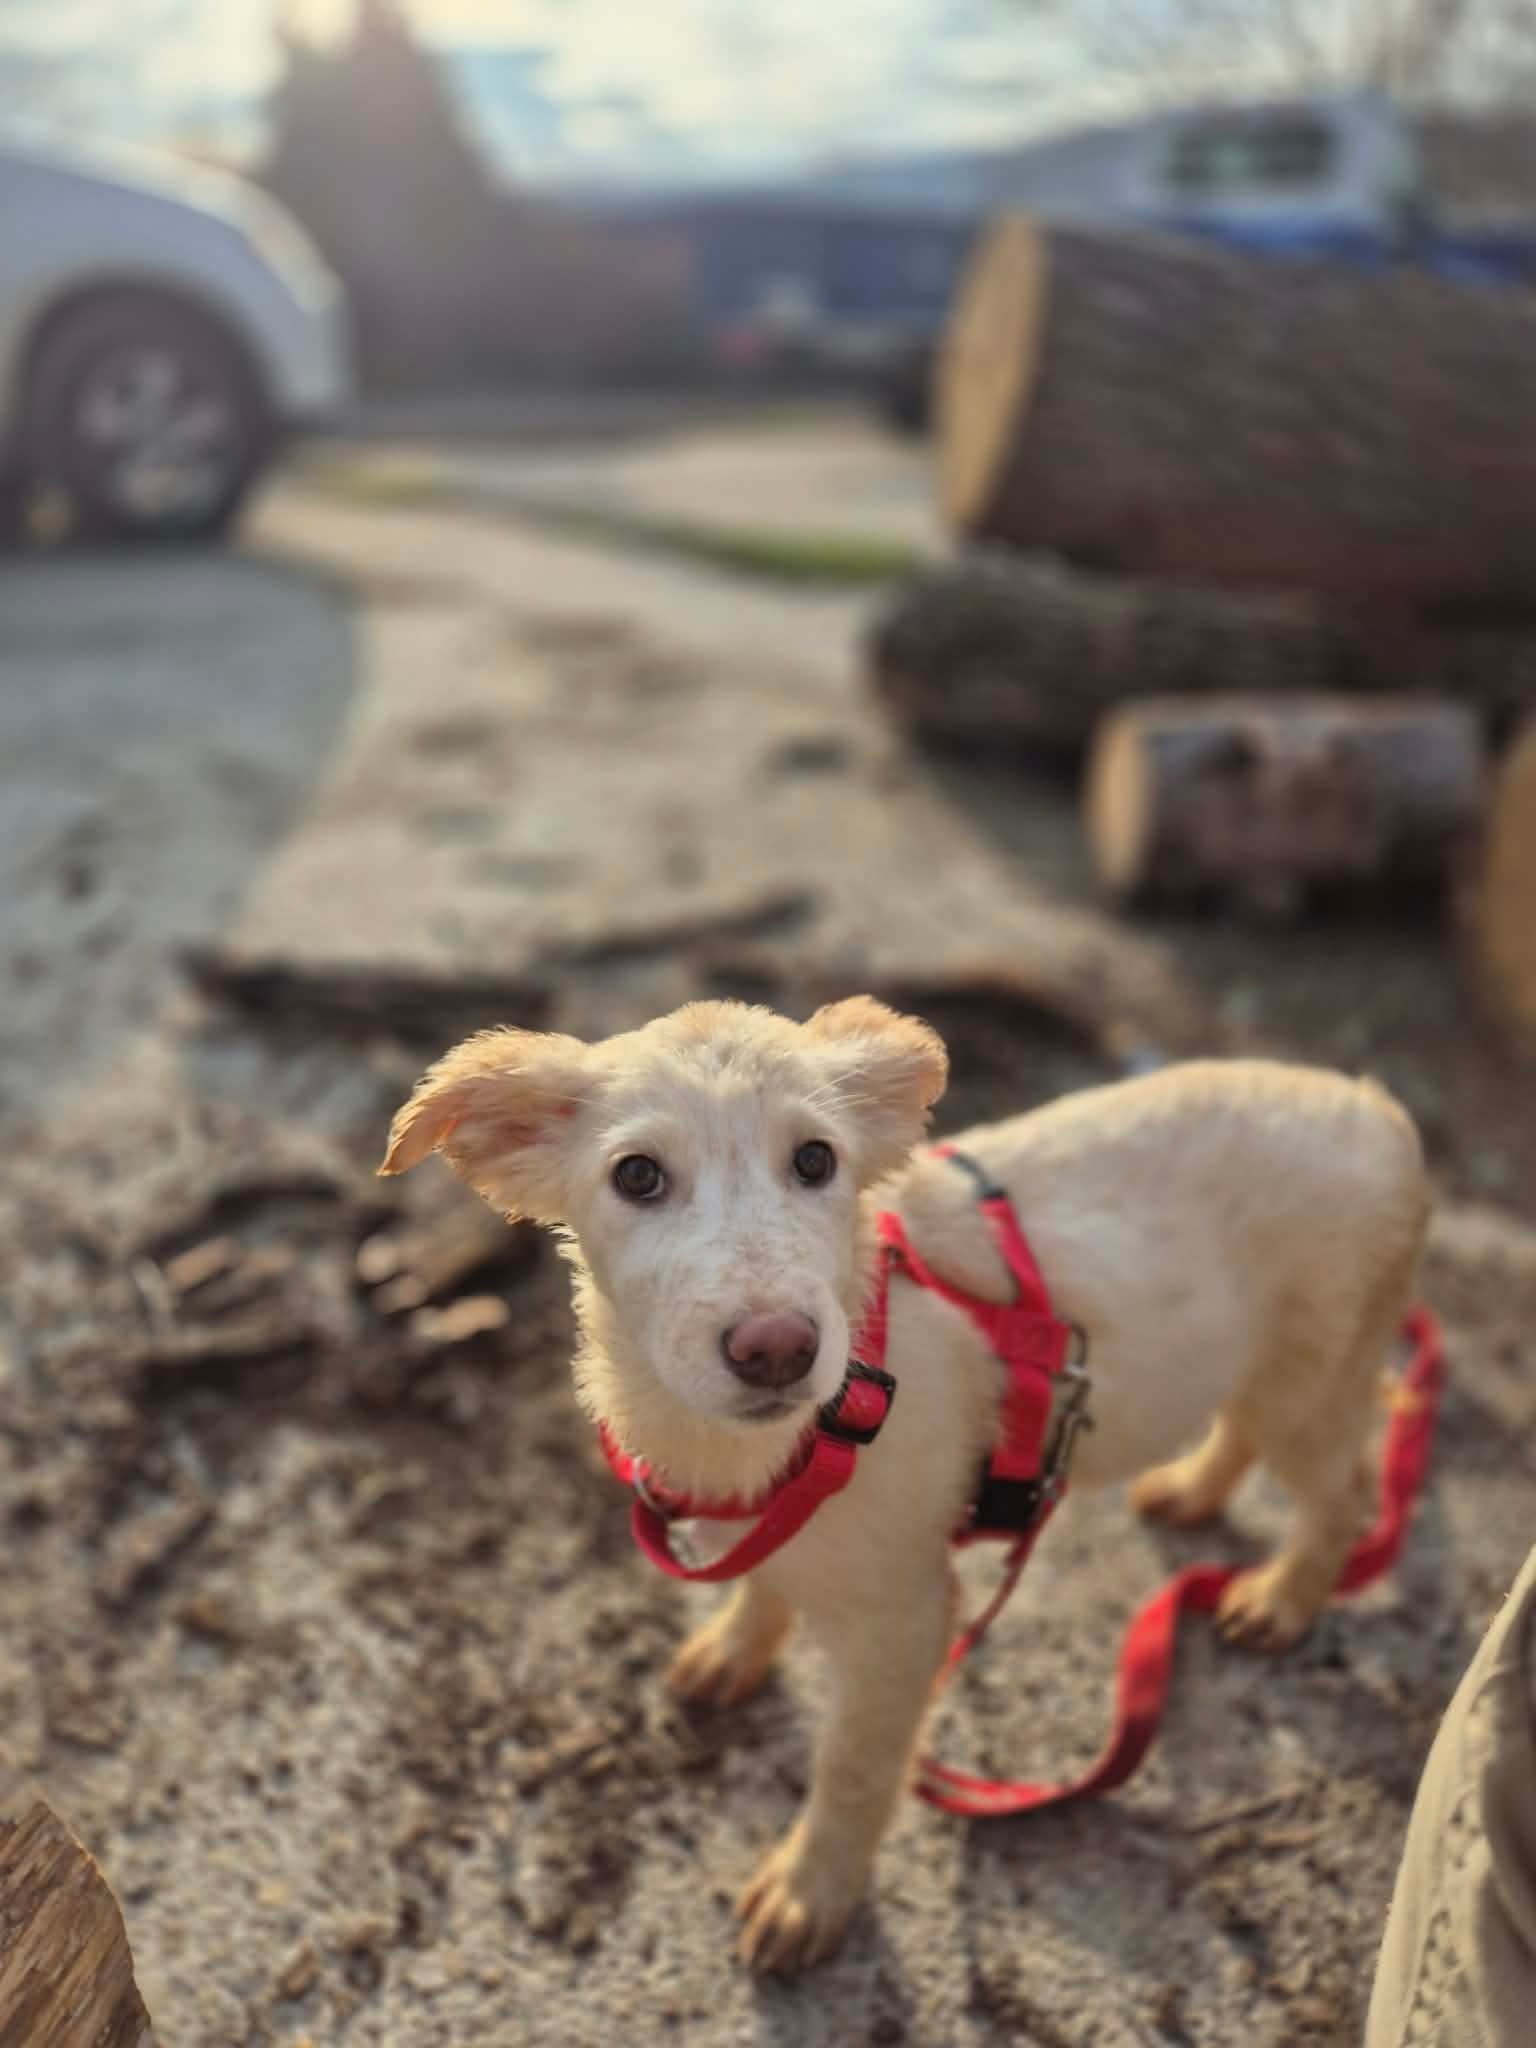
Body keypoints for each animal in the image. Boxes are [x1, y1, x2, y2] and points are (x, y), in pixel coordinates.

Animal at [381, 996, 1429, 1971]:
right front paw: (733, 1651)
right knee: (1240, 1429)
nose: (778, 1349)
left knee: (1341, 1496)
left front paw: (809, 1895)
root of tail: (1379, 1109)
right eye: (636, 1175)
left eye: (816, 1161)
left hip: (1312, 1381)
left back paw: (1280, 1602)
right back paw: (1191, 1489)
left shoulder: (907, 1619)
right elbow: (764, 1587)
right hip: (1264, 1372)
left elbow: (851, 1768)